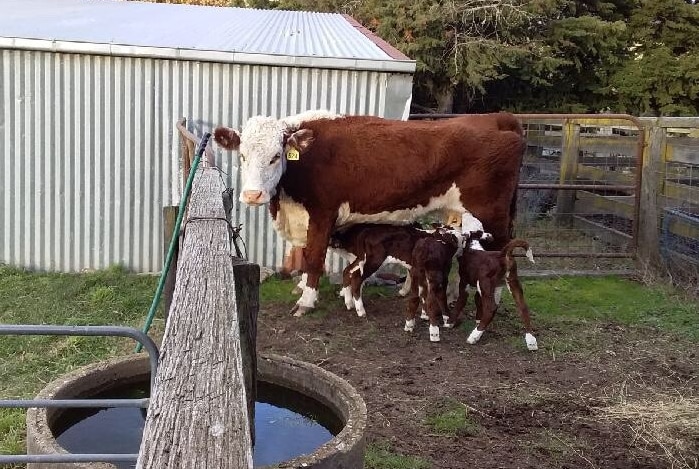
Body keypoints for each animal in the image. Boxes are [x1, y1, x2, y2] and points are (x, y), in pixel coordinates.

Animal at [213, 110, 524, 314]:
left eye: (276, 156)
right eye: (242, 155)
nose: (252, 195)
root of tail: (496, 117)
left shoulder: (322, 213)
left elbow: (314, 256)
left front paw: (306, 301)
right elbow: (304, 253)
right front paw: (302, 286)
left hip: (492, 213)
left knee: (500, 250)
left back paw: (492, 300)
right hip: (456, 211)